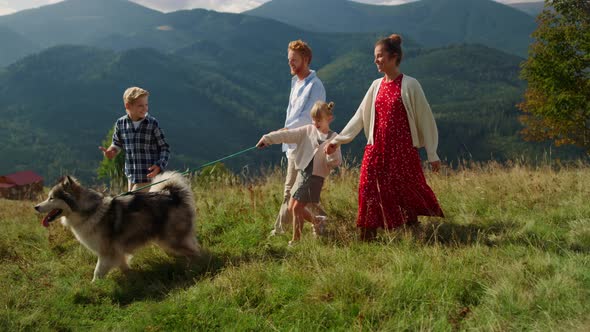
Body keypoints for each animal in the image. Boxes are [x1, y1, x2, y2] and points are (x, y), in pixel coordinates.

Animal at [35, 172, 201, 282]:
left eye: (51, 198)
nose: (36, 207)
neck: (90, 211)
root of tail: (173, 195)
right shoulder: (116, 252)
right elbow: (123, 266)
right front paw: (133, 278)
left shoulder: (106, 252)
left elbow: (97, 272)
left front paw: (92, 287)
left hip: (171, 241)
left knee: (195, 252)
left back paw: (194, 267)